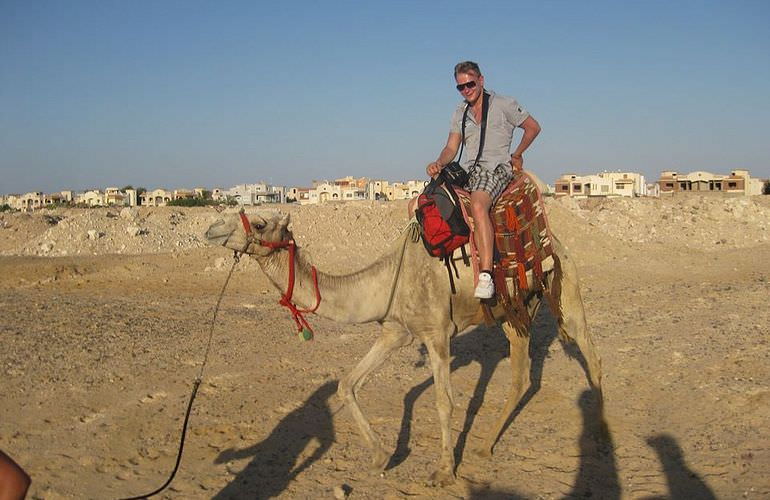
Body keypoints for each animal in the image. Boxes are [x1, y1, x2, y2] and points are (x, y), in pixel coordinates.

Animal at [204, 202, 600, 484]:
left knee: (590, 351)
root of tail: (553, 237)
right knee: (521, 376)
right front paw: (382, 456)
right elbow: (348, 384)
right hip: (510, 311)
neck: (386, 282)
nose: (211, 227)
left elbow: (444, 402)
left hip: (565, 284)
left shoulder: (437, 332)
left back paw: (597, 425)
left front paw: (443, 471)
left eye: (259, 224)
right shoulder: (395, 331)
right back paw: (486, 446)